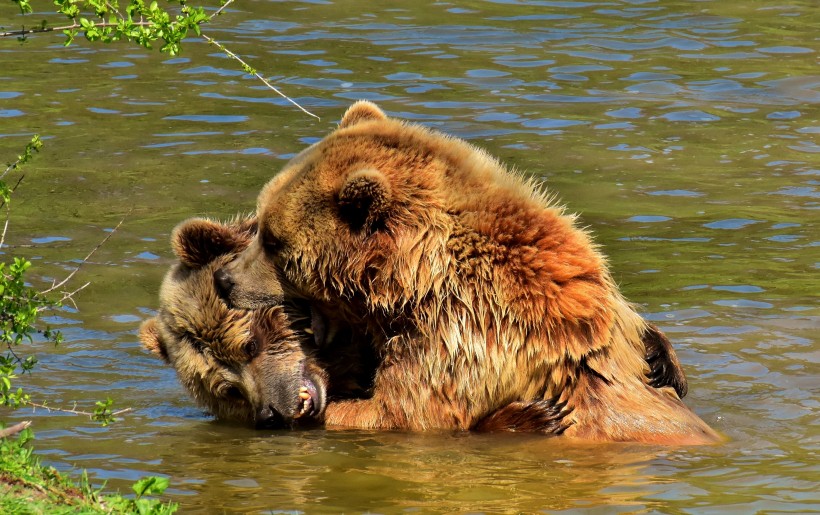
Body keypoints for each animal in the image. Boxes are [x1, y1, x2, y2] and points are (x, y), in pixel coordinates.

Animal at [216, 100, 716, 444]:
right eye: (261, 224)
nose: (225, 280)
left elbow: (402, 412)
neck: (414, 282)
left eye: (273, 241)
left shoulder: (461, 336)